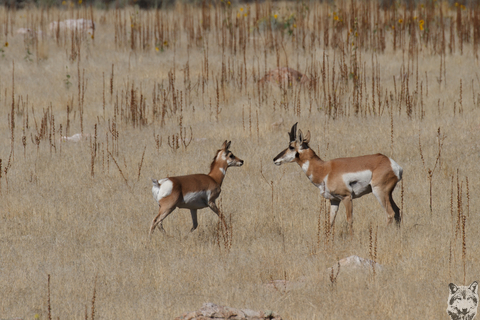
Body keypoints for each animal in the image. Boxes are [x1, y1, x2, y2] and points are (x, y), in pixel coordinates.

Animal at [274, 123, 402, 230]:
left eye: (291, 146)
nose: (275, 159)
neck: (325, 169)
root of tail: (391, 163)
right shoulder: (334, 200)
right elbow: (330, 221)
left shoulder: (346, 197)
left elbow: (349, 220)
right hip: (388, 194)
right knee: (397, 210)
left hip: (379, 192)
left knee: (390, 213)